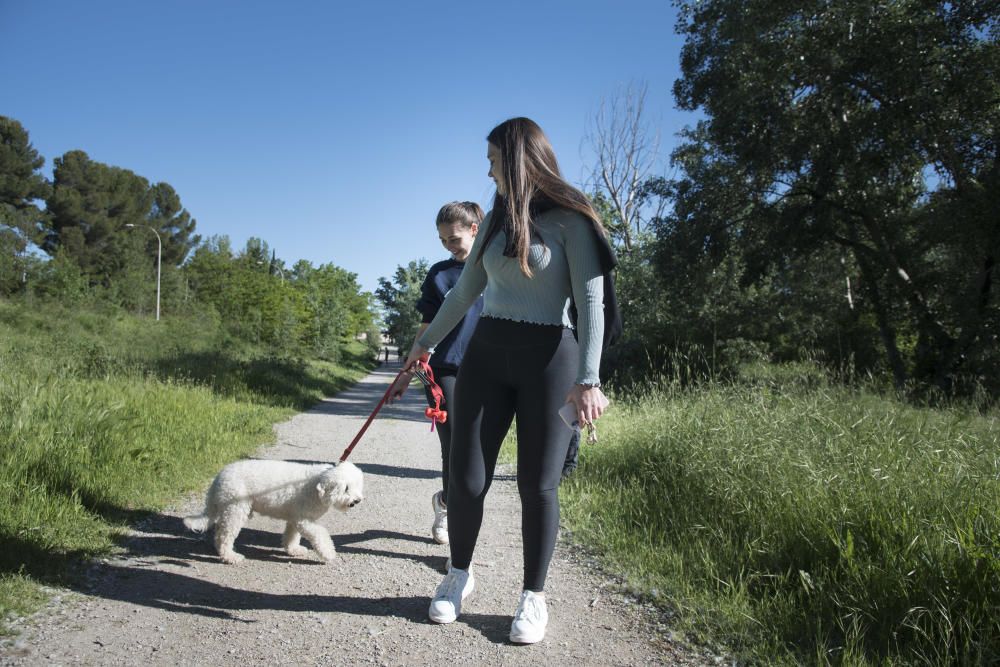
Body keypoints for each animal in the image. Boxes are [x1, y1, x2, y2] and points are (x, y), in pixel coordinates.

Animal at [183, 460, 364, 564]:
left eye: (357, 485)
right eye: (346, 488)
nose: (357, 501)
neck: (315, 485)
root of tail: (218, 478)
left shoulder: (295, 518)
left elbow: (291, 536)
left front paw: (293, 550)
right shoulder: (304, 521)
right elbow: (320, 535)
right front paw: (328, 553)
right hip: (235, 509)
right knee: (224, 536)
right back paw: (230, 557)